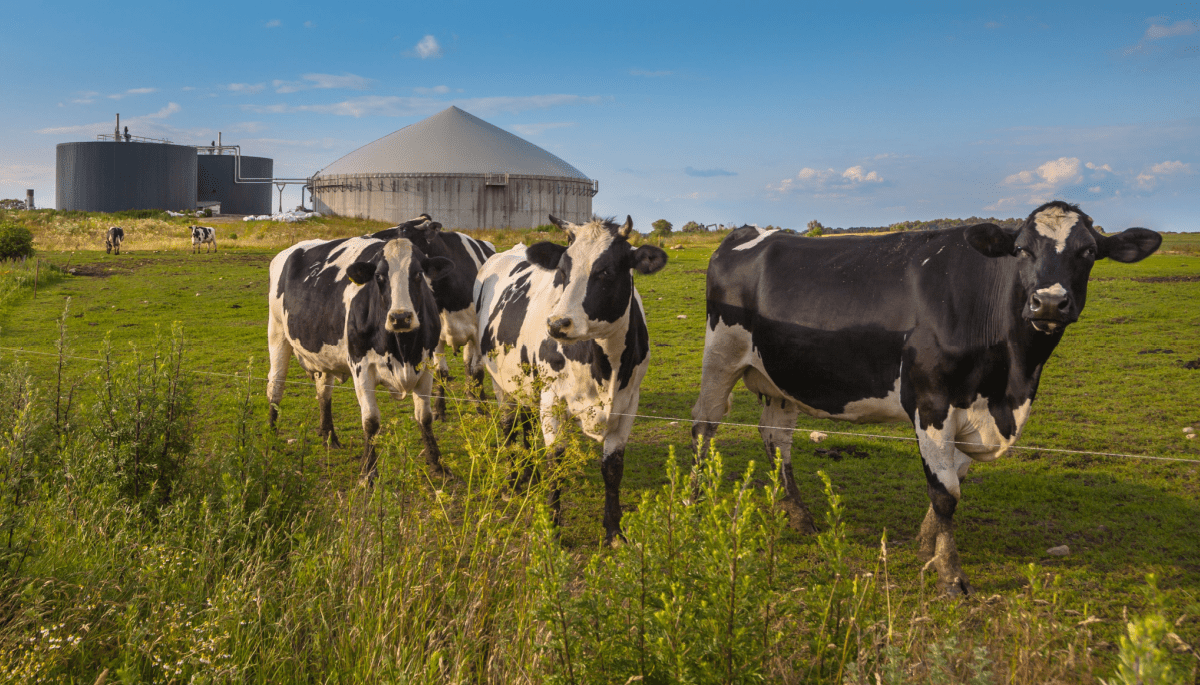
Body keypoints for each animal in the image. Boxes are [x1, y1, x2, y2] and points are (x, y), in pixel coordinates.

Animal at [267, 232, 453, 479]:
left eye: (418, 274)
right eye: (379, 276)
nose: (400, 317)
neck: (402, 349)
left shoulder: (425, 365)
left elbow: (425, 417)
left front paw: (438, 465)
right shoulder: (361, 367)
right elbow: (371, 421)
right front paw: (368, 472)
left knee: (324, 392)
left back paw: (329, 437)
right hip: (277, 332)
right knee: (275, 387)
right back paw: (271, 437)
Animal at [369, 217, 492, 417]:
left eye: (404, 229)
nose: (373, 237)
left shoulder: (477, 334)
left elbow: (478, 371)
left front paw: (482, 406)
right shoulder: (436, 335)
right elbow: (441, 372)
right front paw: (439, 408)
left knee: (469, 364)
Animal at [472, 214, 672, 542]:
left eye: (606, 271)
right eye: (562, 272)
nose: (557, 324)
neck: (604, 368)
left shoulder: (628, 405)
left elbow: (613, 468)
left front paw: (614, 531)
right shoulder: (552, 401)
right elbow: (556, 462)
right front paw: (552, 529)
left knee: (525, 424)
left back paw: (529, 474)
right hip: (501, 382)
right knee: (509, 427)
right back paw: (513, 481)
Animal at [696, 199, 1161, 595]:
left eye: (1088, 251)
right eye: (1021, 249)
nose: (1048, 303)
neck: (1010, 384)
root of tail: (751, 231)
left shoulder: (974, 412)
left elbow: (955, 478)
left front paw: (928, 545)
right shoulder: (931, 401)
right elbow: (945, 492)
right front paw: (951, 574)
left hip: (777, 379)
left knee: (777, 440)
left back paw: (798, 516)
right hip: (721, 355)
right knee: (706, 423)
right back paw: (697, 497)